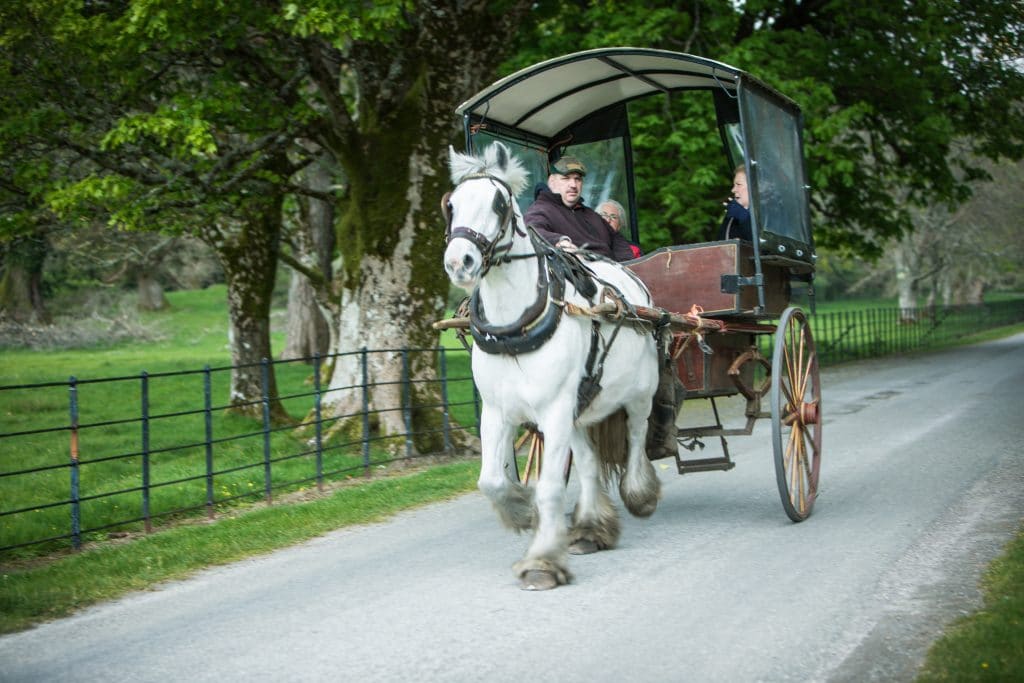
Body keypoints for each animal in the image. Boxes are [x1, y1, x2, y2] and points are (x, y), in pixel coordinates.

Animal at [442, 141, 666, 590]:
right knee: (590, 463)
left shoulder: (554, 409)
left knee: (636, 438)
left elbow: (549, 487)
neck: (515, 327)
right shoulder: (497, 410)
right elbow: (491, 480)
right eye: (451, 204)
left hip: (638, 393)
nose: (459, 262)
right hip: (578, 408)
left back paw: (639, 493)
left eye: (498, 204)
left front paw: (542, 561)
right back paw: (592, 526)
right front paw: (522, 510)